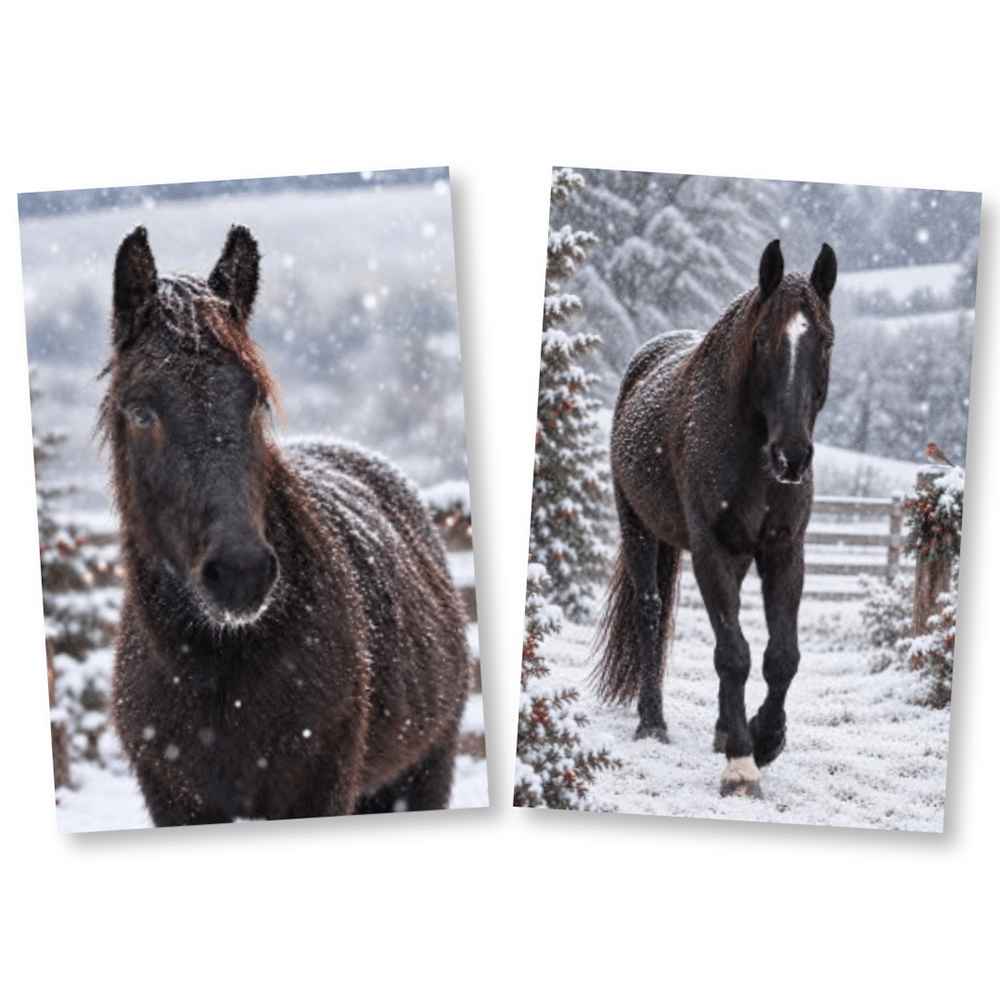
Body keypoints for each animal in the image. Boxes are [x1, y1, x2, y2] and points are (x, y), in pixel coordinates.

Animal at [102, 224, 471, 825]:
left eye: (255, 400)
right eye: (141, 412)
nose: (241, 572)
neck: (221, 673)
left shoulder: (318, 790)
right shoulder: (175, 801)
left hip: (421, 773)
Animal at [594, 240, 837, 797]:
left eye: (827, 342)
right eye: (762, 340)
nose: (793, 456)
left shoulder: (783, 550)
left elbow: (781, 657)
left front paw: (765, 737)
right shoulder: (711, 549)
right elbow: (733, 653)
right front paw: (742, 764)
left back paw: (726, 727)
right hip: (637, 527)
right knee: (650, 612)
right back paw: (652, 723)